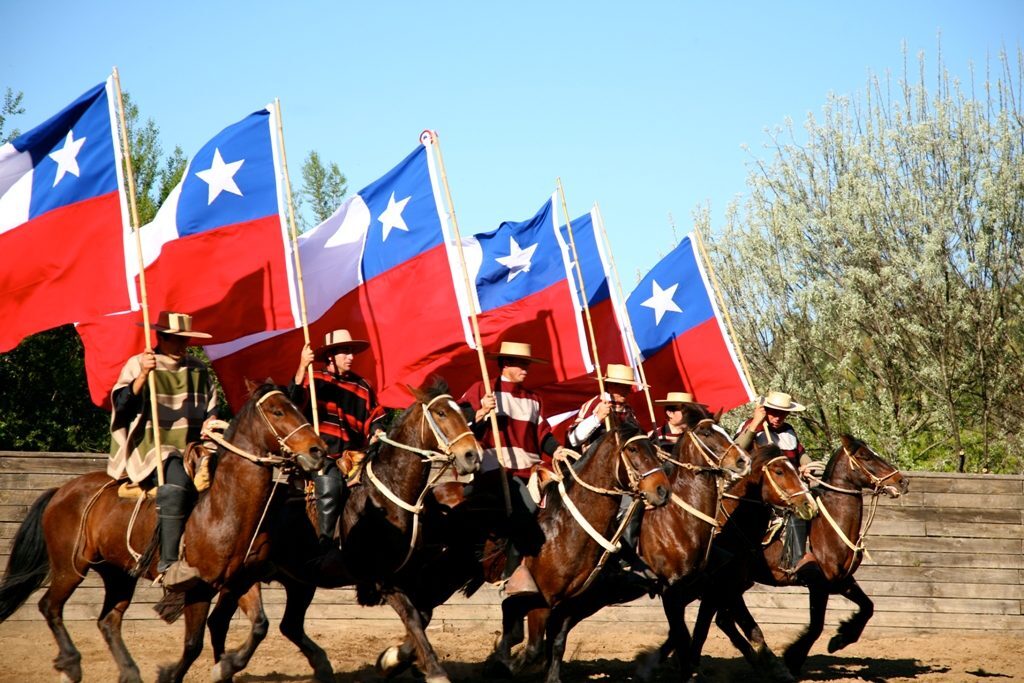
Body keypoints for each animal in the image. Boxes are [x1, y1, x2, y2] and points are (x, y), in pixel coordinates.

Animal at [0, 382, 323, 683]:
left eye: (297, 408)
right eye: (278, 411)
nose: (317, 450)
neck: (223, 507)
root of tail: (61, 491)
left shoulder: (240, 581)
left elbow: (259, 626)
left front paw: (226, 666)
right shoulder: (199, 589)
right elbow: (193, 644)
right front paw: (173, 673)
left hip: (118, 574)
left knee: (108, 621)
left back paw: (129, 672)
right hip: (70, 567)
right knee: (50, 606)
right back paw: (71, 665)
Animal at [205, 382, 485, 683]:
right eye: (441, 413)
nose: (472, 456)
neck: (387, 493)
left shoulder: (409, 576)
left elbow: (423, 615)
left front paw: (391, 660)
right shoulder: (382, 578)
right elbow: (412, 616)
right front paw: (433, 671)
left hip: (299, 582)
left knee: (289, 625)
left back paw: (319, 665)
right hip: (243, 579)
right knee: (220, 621)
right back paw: (224, 667)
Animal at [485, 421, 675, 683]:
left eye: (653, 448)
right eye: (633, 449)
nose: (662, 490)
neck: (566, 529)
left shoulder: (569, 601)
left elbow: (557, 643)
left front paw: (551, 677)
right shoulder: (542, 601)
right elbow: (534, 649)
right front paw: (505, 669)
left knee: (510, 614)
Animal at [503, 403, 753, 679]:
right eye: (707, 434)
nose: (743, 460)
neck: (679, 519)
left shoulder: (694, 587)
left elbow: (691, 632)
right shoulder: (671, 592)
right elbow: (682, 636)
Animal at [708, 436, 909, 675]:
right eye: (866, 457)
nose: (902, 481)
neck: (828, 526)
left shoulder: (841, 581)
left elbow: (868, 607)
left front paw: (841, 639)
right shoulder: (818, 585)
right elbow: (816, 626)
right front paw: (793, 658)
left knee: (724, 619)